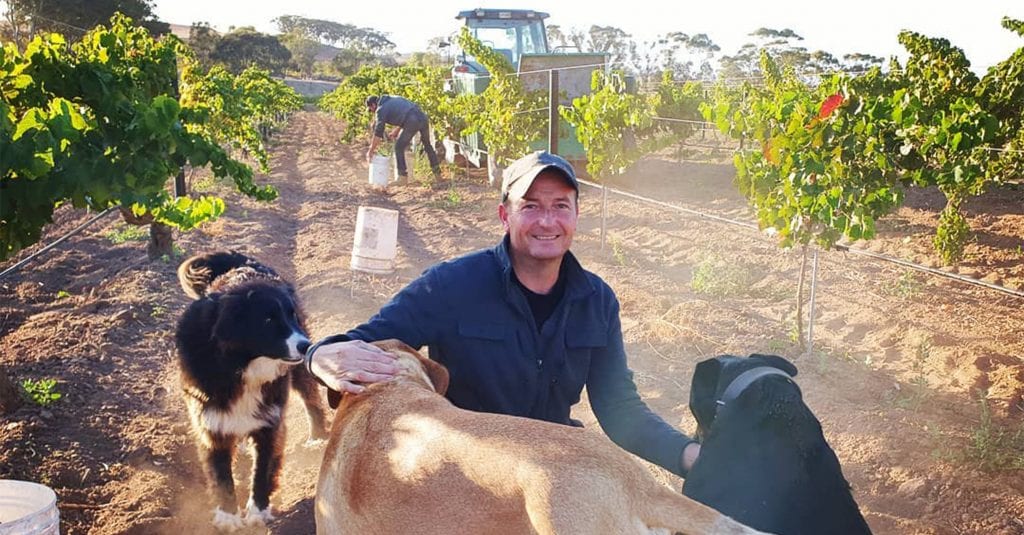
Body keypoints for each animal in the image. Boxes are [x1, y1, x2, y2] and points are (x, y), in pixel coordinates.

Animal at [174, 250, 329, 528]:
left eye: (291, 315)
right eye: (268, 320)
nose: (305, 345)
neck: (241, 364)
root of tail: (243, 262)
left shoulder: (270, 421)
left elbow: (262, 468)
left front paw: (257, 512)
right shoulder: (210, 420)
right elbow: (221, 473)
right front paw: (228, 516)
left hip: (300, 373)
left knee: (311, 398)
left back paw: (318, 437)